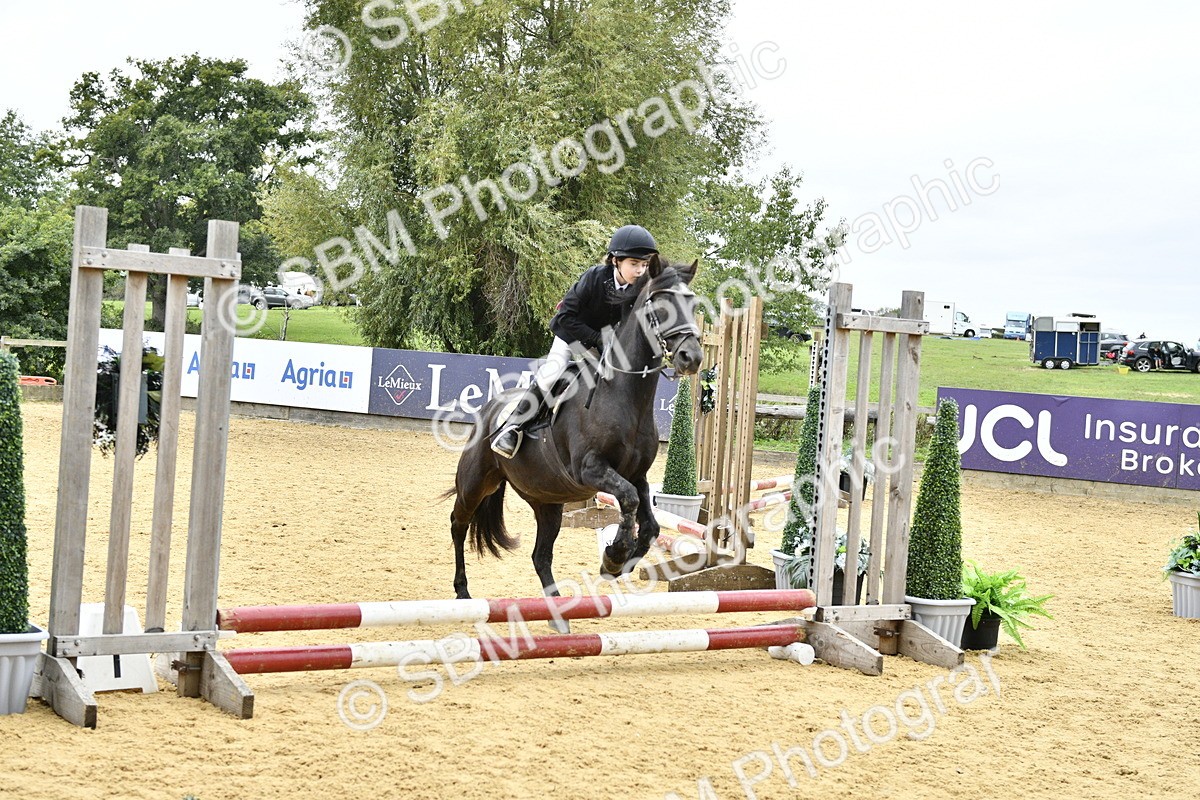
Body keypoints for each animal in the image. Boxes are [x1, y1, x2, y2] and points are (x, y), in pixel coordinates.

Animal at [445, 255, 703, 622]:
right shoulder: (591, 469)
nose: (691, 358)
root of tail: (491, 406)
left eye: (693, 305)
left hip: (546, 501)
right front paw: (614, 555)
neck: (624, 395)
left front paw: (620, 562)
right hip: (476, 481)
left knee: (540, 555)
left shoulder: (636, 475)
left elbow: (649, 523)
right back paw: (463, 591)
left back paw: (558, 614)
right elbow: (628, 500)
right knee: (459, 523)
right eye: (661, 305)